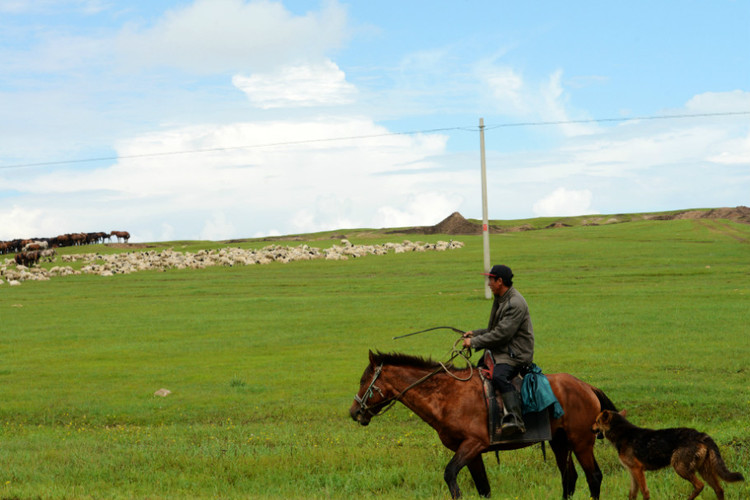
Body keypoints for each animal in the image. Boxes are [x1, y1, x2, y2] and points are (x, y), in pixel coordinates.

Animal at [352, 352, 616, 500]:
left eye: (364, 380)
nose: (354, 412)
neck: (448, 395)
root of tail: (586, 387)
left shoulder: (473, 444)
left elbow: (450, 475)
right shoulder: (471, 453)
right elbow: (483, 488)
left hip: (581, 443)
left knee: (593, 477)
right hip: (560, 443)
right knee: (569, 478)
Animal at [592, 410, 748, 500]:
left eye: (596, 421)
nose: (590, 428)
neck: (622, 434)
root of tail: (701, 435)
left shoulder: (638, 470)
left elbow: (645, 492)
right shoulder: (632, 472)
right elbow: (632, 494)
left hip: (679, 467)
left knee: (699, 485)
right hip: (704, 471)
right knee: (719, 489)